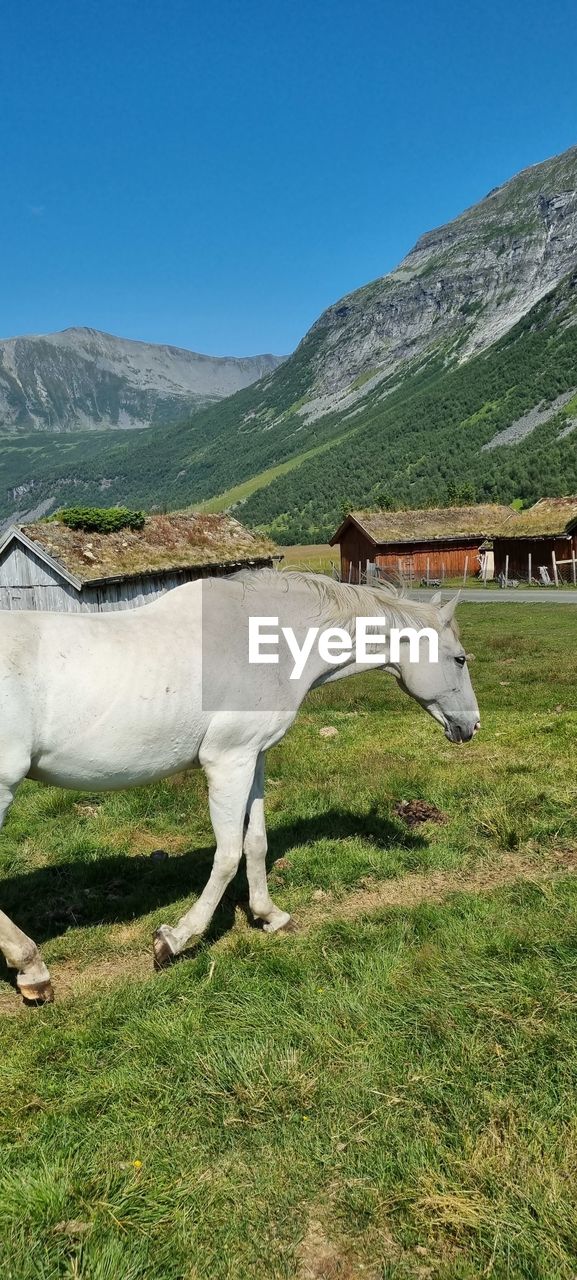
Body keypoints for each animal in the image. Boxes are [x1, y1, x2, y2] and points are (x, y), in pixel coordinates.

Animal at [0, 570, 481, 998]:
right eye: (459, 658)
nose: (472, 726)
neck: (265, 641)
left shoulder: (254, 757)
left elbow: (256, 843)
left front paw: (270, 916)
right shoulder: (228, 761)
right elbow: (228, 855)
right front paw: (175, 939)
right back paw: (32, 968)